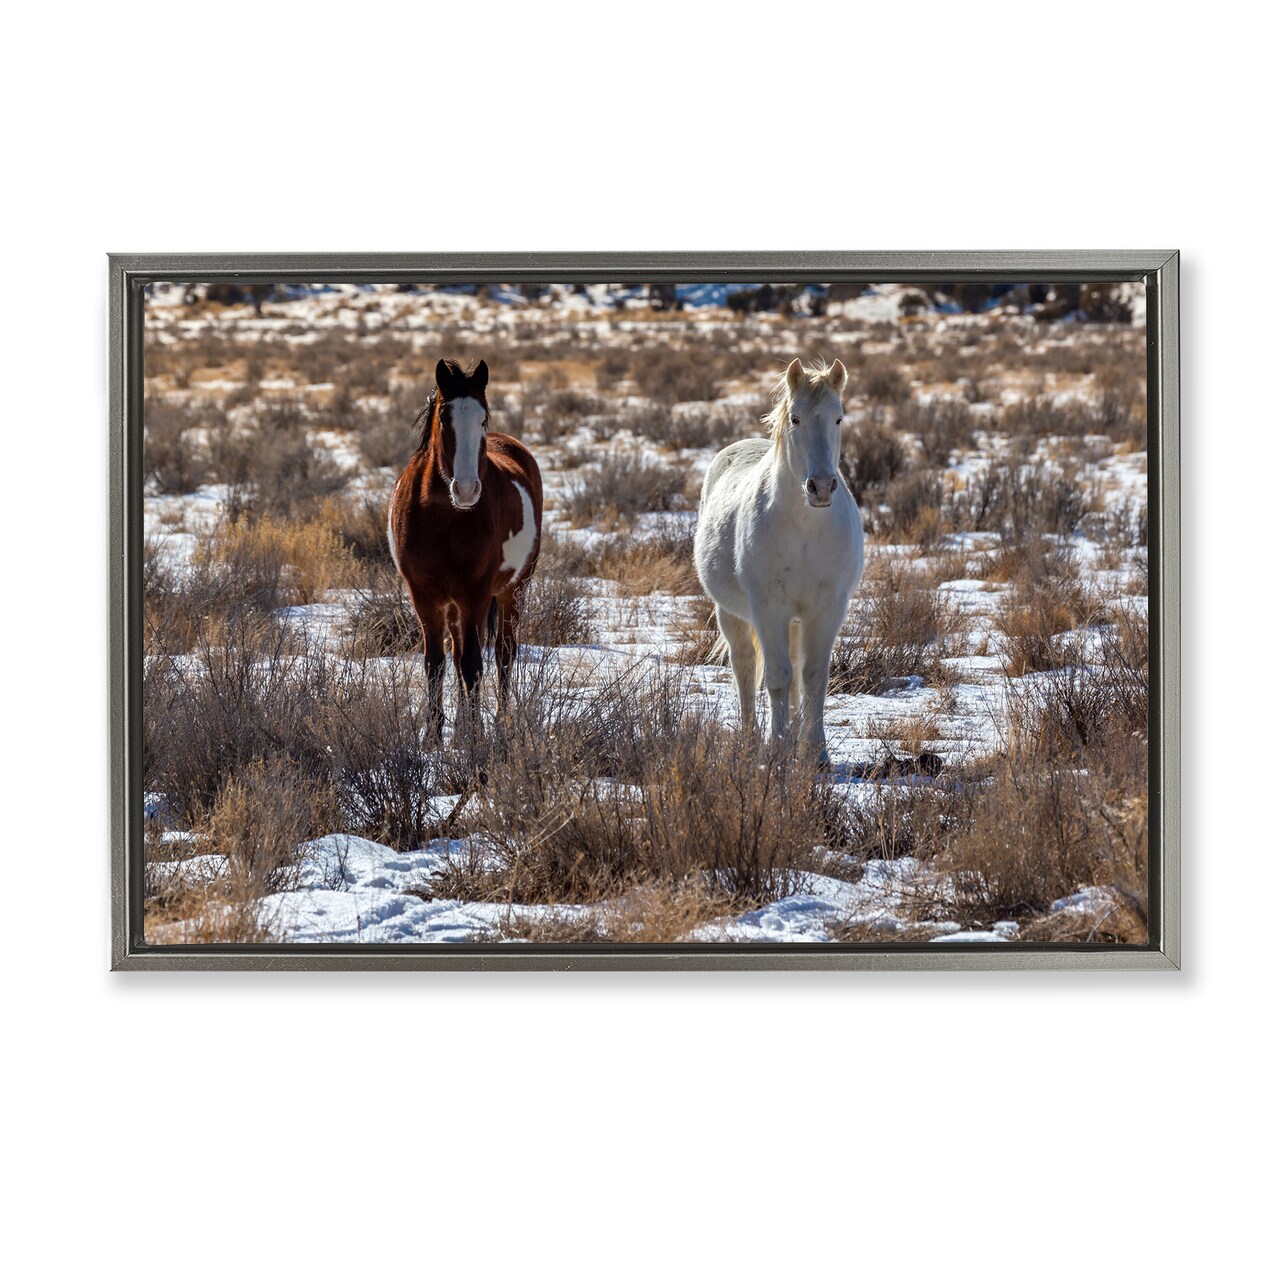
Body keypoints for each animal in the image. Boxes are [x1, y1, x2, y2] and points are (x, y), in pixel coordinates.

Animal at [388, 358, 543, 741]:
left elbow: (473, 664)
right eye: (444, 418)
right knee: (458, 653)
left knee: (503, 654)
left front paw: (474, 739)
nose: (468, 489)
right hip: (457, 604)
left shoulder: (476, 593)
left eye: (483, 418)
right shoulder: (425, 595)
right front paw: (433, 738)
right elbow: (436, 663)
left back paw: (499, 723)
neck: (445, 519)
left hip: (513, 590)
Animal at [693, 357, 864, 764]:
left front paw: (816, 753)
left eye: (838, 418)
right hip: (732, 614)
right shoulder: (769, 608)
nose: (820, 487)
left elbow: (814, 676)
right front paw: (776, 749)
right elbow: (776, 677)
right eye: (796, 419)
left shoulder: (827, 608)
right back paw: (750, 738)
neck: (804, 526)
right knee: (743, 665)